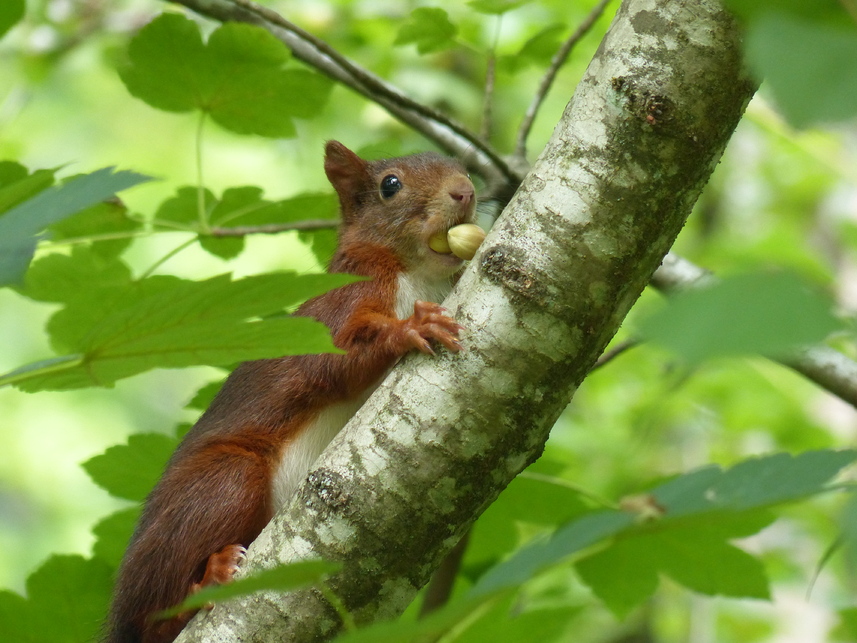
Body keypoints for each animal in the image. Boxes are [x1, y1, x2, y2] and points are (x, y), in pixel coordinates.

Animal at [105, 142, 474, 643]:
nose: (465, 191)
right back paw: (208, 581)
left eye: (463, 166)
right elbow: (329, 364)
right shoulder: (338, 307)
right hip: (225, 479)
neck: (420, 273)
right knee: (154, 616)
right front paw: (411, 328)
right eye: (390, 185)